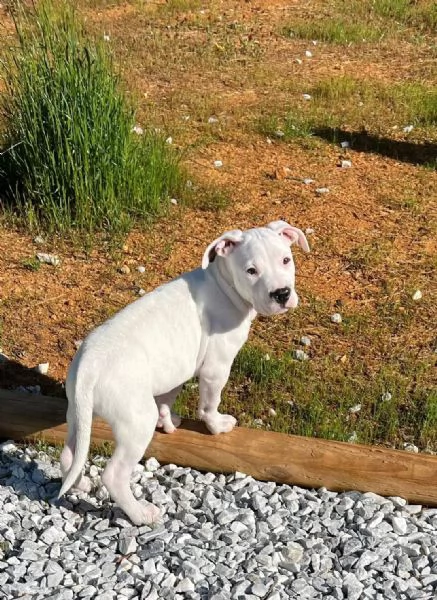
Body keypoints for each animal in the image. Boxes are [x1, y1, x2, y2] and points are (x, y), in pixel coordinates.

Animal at [58, 221, 310, 524]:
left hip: (79, 413)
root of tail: (88, 366)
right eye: (251, 271)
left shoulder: (176, 368)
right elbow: (209, 404)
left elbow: (168, 398)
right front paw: (216, 426)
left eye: (286, 260)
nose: (281, 294)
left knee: (69, 455)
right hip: (135, 421)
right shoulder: (216, 367)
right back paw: (141, 514)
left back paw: (80, 483)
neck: (223, 284)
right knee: (114, 474)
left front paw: (168, 422)